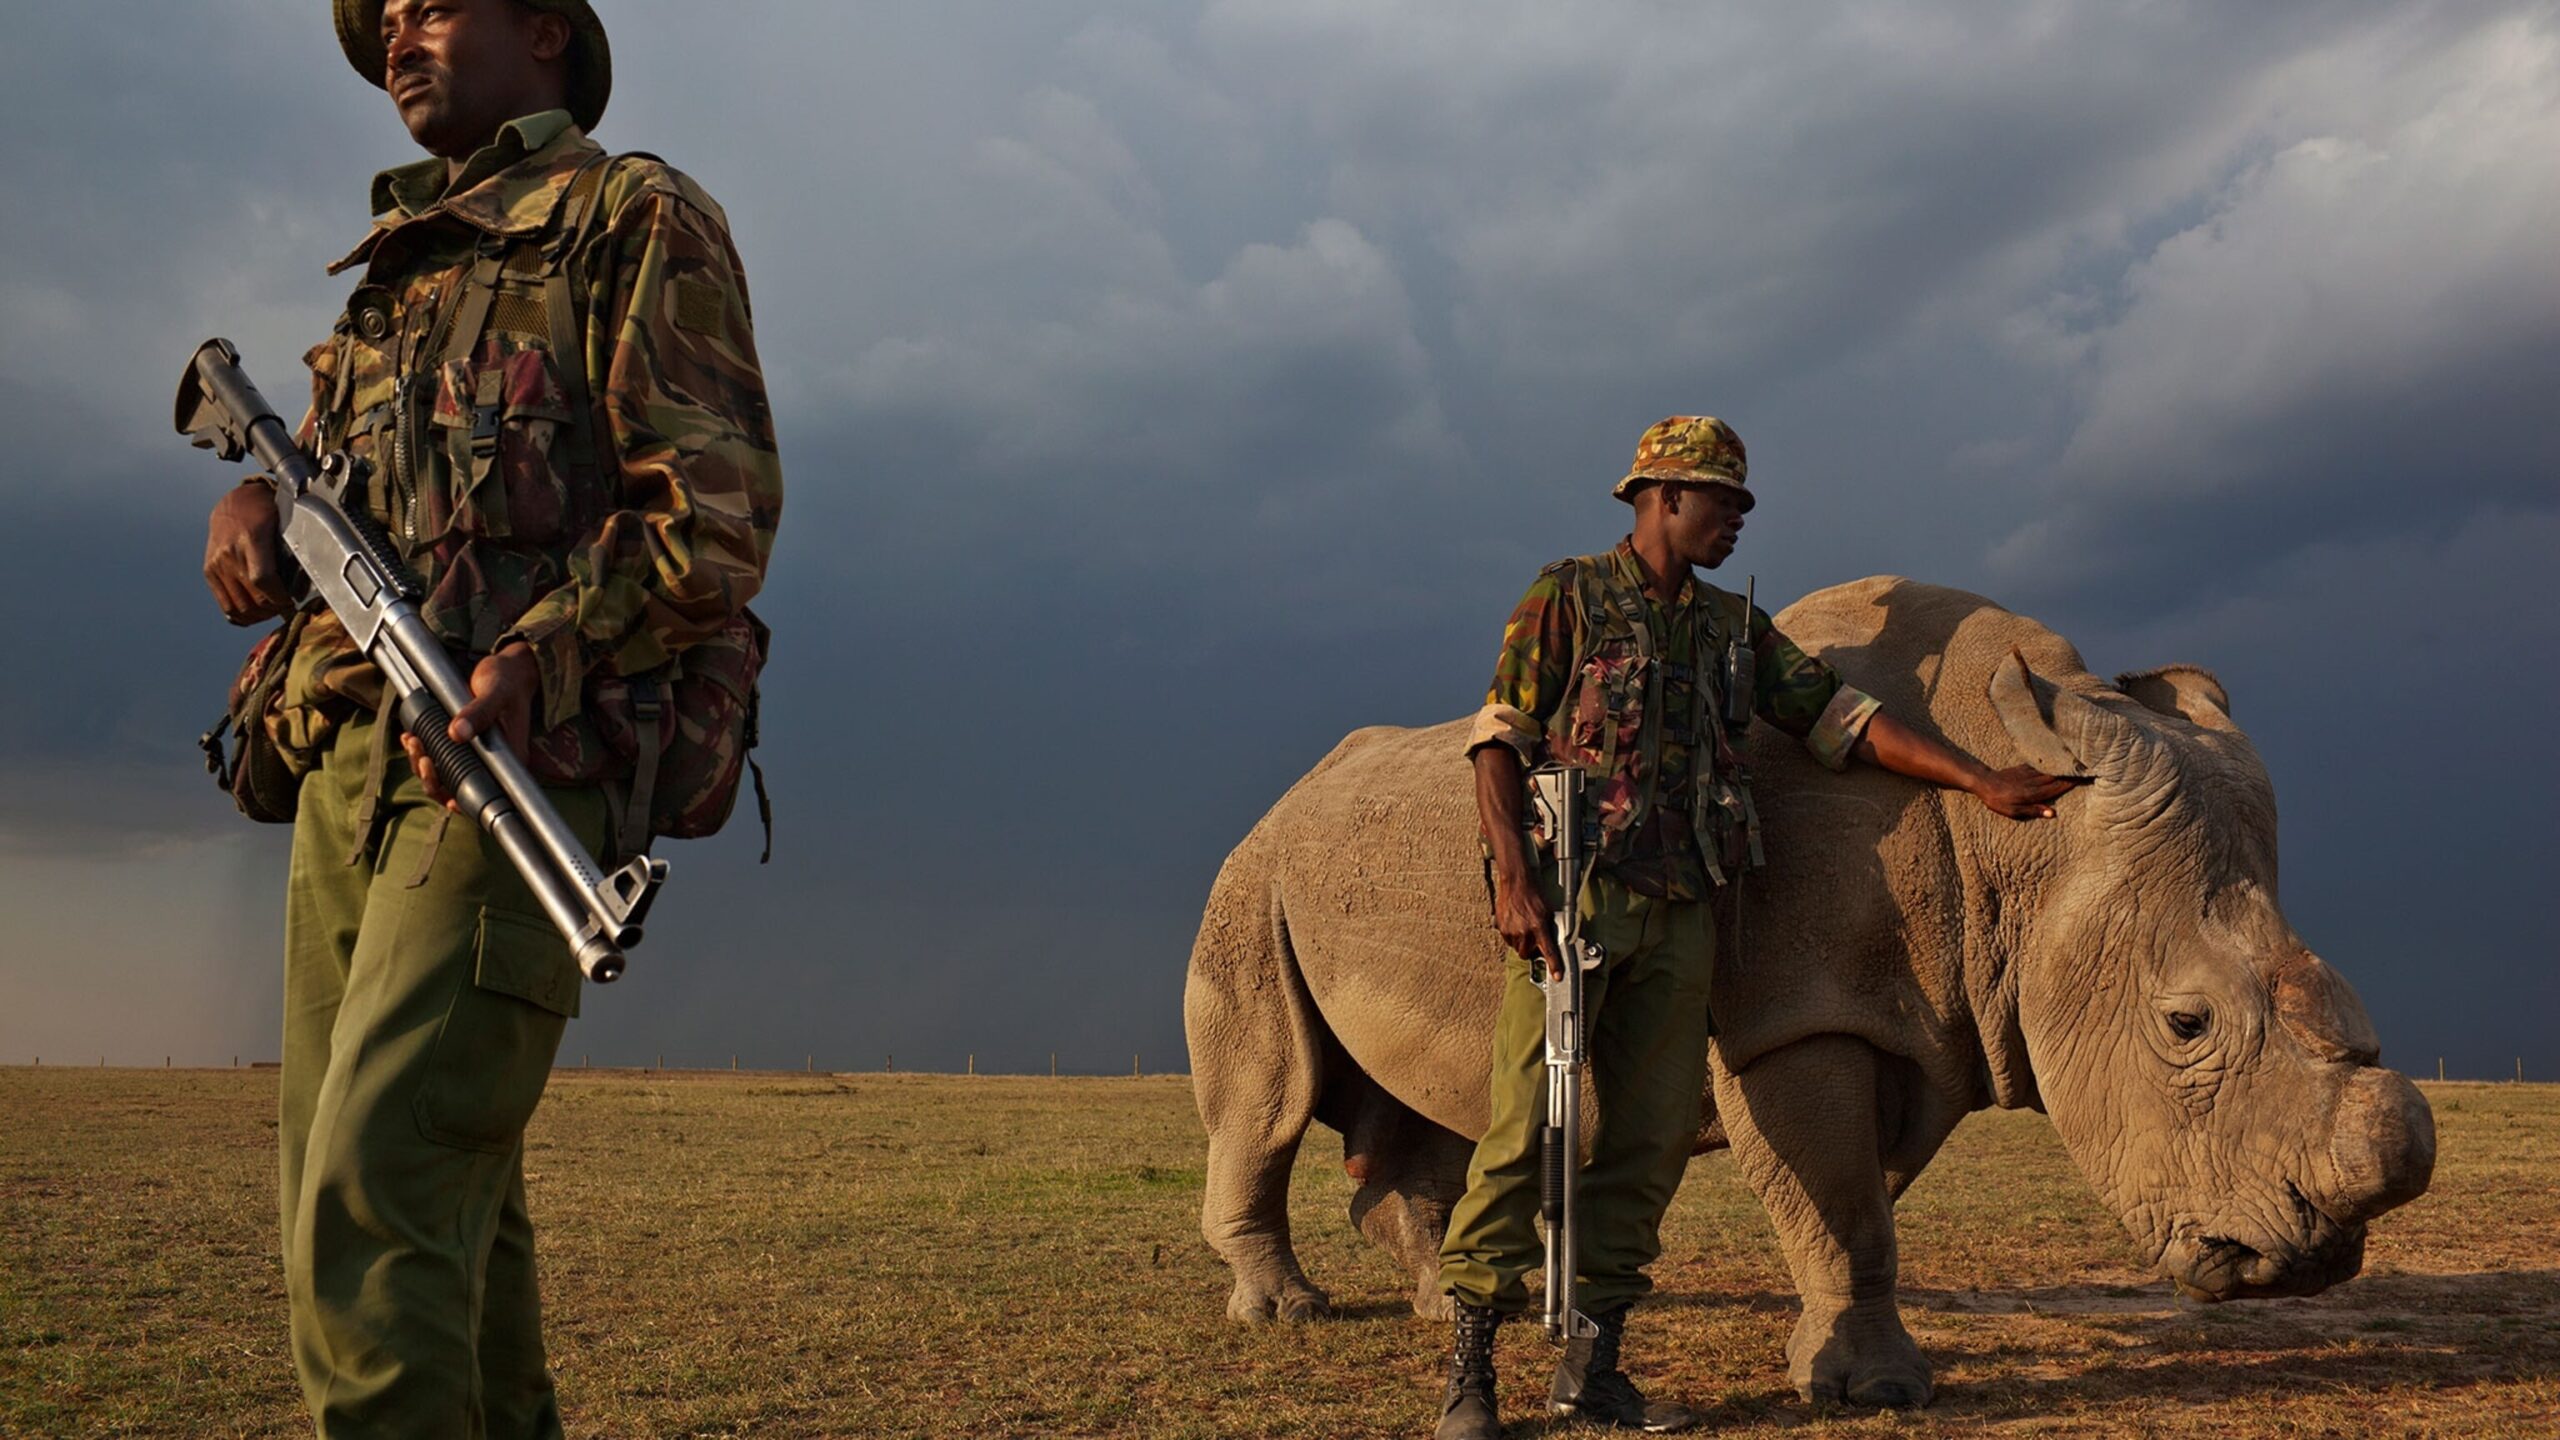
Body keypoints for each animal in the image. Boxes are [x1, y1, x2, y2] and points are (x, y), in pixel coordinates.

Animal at [1183, 577, 2435, 1407]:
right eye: (2183, 1025)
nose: (2308, 1266)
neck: (2019, 852)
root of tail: (1286, 800)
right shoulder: (1793, 1018)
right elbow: (1836, 1194)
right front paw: (1869, 1393)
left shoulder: (1915, 1017)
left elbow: (1852, 1198)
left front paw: (1834, 1362)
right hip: (1249, 879)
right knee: (1272, 1096)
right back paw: (1286, 1313)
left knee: (1436, 1108)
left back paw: (1444, 1304)